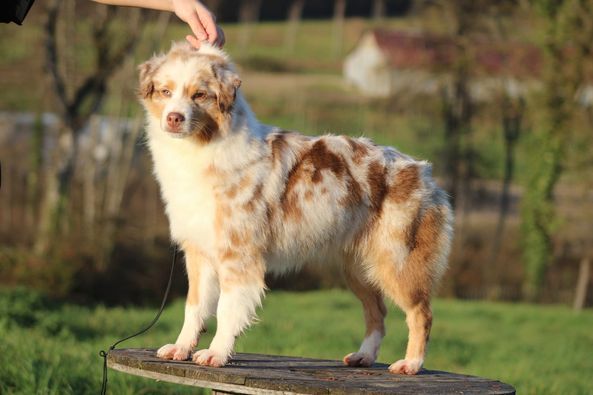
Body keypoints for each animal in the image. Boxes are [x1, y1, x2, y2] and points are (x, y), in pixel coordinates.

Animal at [140, 41, 454, 376]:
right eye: (165, 91)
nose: (174, 118)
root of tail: (425, 173)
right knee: (377, 312)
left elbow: (227, 310)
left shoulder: (239, 256)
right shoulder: (198, 251)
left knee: (421, 313)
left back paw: (411, 363)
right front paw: (182, 347)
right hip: (358, 269)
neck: (202, 148)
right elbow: (194, 307)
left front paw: (216, 353)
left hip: (396, 262)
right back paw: (364, 356)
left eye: (199, 95)